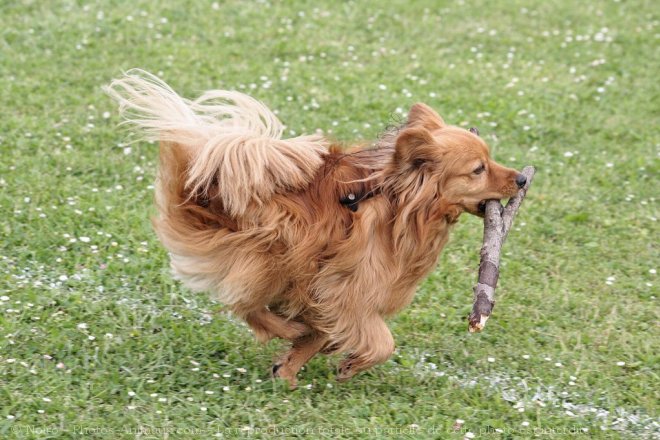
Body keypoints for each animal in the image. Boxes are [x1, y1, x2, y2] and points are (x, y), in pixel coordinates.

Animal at [104, 69, 524, 388]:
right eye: (478, 169)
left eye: (490, 159)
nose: (521, 178)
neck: (399, 208)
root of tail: (204, 194)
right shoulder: (347, 287)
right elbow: (381, 341)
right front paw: (347, 363)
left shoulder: (325, 289)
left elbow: (322, 331)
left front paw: (289, 368)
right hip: (274, 251)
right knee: (245, 303)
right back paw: (284, 328)